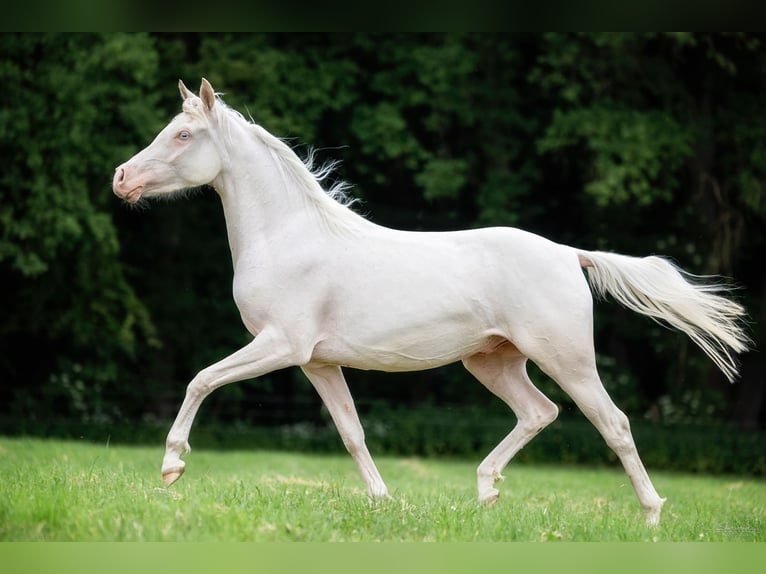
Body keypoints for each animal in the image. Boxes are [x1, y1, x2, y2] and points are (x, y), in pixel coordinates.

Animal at [114, 79, 752, 528]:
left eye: (183, 135)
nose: (121, 179)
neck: (291, 236)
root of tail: (569, 254)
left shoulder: (279, 345)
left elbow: (200, 379)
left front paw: (172, 466)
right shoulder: (317, 362)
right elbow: (352, 432)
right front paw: (383, 501)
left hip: (566, 358)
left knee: (612, 423)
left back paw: (650, 515)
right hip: (492, 361)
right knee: (538, 412)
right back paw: (486, 492)